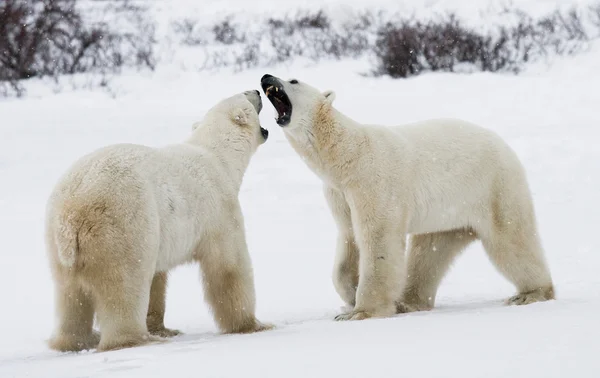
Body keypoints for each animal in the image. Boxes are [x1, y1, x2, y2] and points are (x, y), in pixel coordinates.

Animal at [47, 88, 272, 352]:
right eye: (245, 97)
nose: (256, 90)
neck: (217, 156)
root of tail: (73, 211)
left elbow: (157, 276)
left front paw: (164, 328)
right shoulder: (219, 208)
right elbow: (229, 266)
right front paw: (252, 324)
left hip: (58, 242)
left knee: (69, 294)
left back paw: (78, 340)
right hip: (123, 221)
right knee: (125, 284)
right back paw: (135, 339)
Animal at [260, 74, 556, 322]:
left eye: (293, 80)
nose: (266, 77)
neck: (347, 155)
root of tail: (505, 145)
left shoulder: (373, 181)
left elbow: (377, 239)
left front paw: (360, 311)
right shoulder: (339, 192)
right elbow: (348, 239)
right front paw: (349, 296)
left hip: (493, 187)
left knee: (510, 238)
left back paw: (532, 293)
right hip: (447, 212)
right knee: (430, 251)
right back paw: (408, 302)